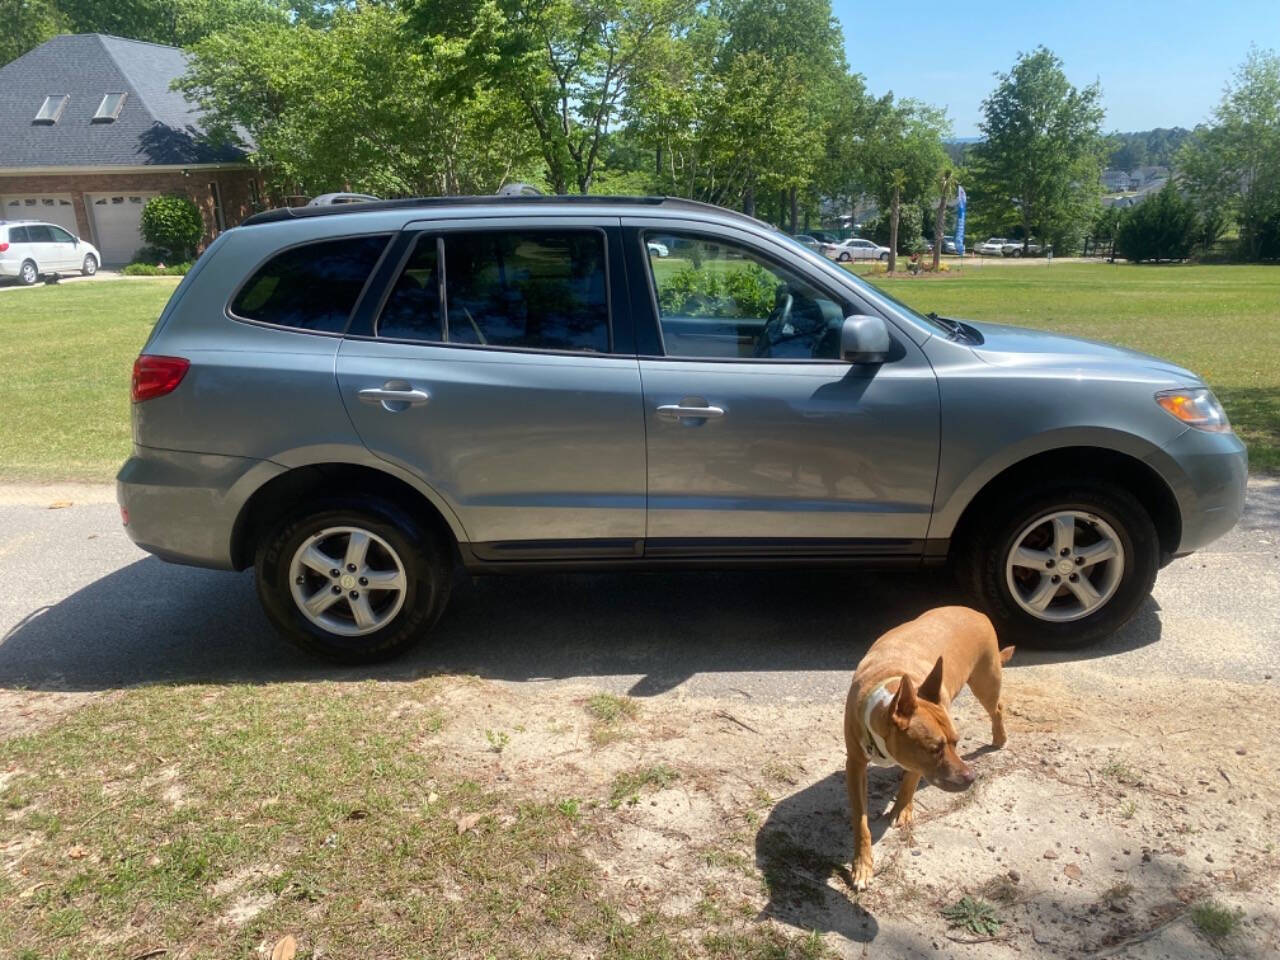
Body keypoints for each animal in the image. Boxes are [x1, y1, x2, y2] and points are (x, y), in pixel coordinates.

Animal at [844, 609, 1013, 896]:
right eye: (935, 749)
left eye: (957, 742)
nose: (971, 778)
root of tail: (975, 611)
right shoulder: (855, 763)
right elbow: (861, 820)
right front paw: (862, 865)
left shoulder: (916, 764)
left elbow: (910, 783)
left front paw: (902, 808)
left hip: (986, 681)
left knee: (997, 708)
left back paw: (1000, 737)